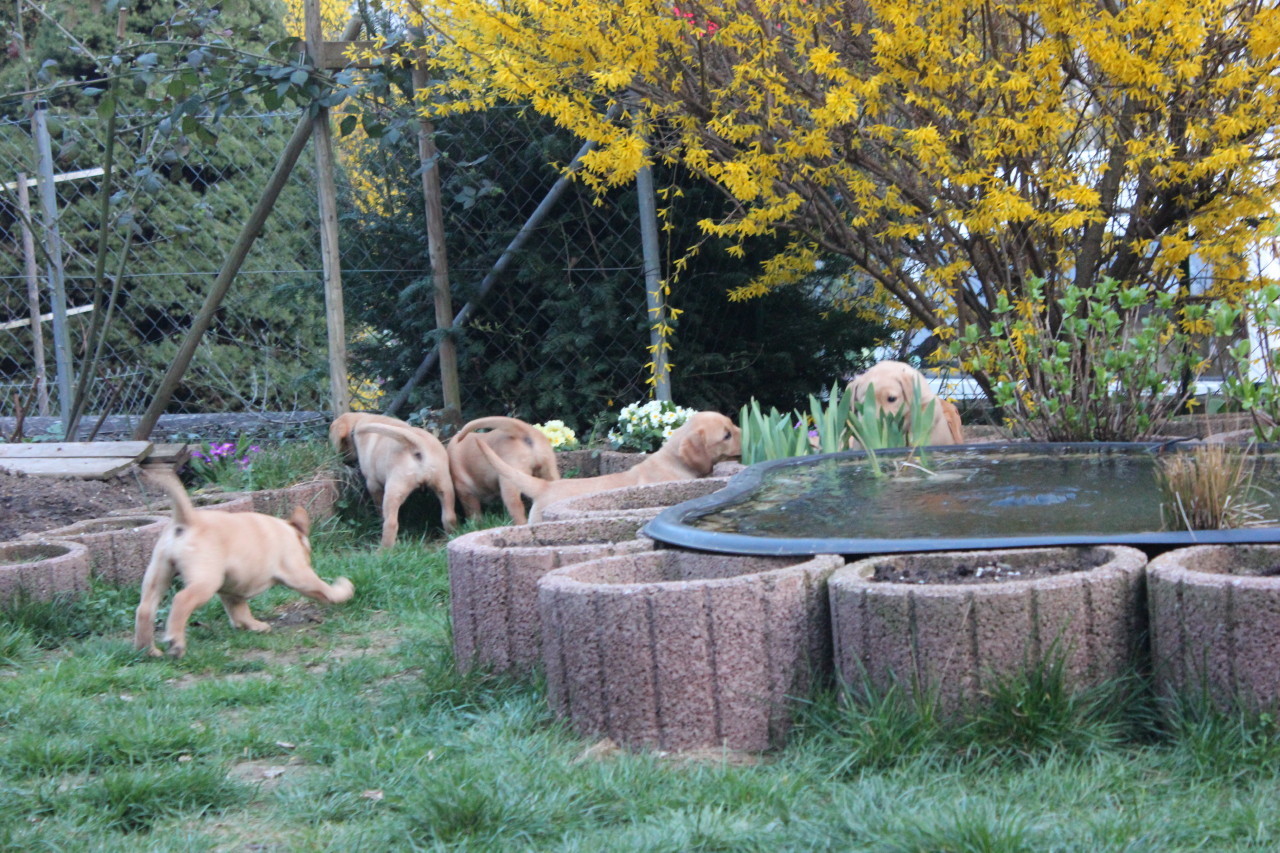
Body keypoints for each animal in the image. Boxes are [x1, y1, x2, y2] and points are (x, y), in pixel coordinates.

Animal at [133, 466, 355, 655]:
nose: (309, 558)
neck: (288, 532)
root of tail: (189, 521)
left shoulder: (232, 591)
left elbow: (240, 611)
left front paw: (253, 625)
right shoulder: (299, 573)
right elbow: (323, 588)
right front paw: (342, 590)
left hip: (158, 573)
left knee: (145, 609)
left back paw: (148, 650)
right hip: (205, 581)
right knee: (182, 599)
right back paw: (176, 642)